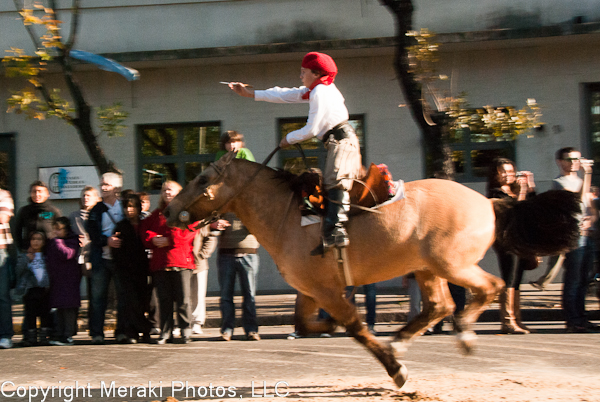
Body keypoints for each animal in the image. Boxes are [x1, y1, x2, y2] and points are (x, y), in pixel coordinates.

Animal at [164, 152, 580, 388]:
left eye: (202, 179)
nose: (170, 210)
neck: (287, 217)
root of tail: (490, 201)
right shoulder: (311, 291)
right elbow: (307, 324)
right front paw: (334, 330)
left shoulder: (326, 291)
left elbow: (356, 327)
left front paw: (397, 371)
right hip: (427, 268)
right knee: (441, 306)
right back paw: (404, 339)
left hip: (452, 264)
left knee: (489, 288)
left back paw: (462, 333)